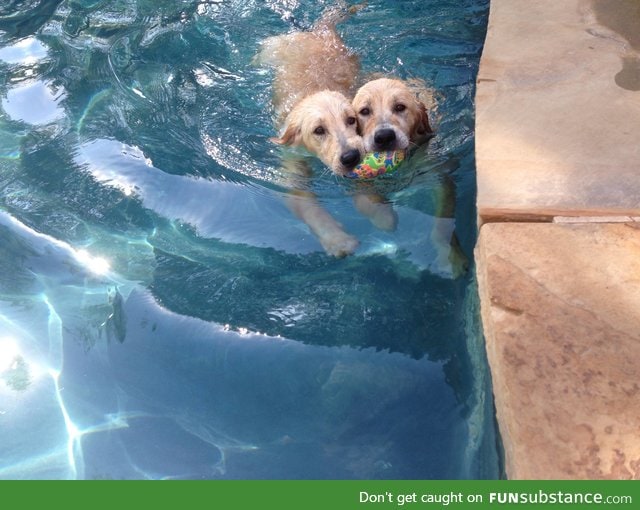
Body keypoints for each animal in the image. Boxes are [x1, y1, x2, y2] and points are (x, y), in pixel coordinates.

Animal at [255, 3, 364, 256]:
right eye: (318, 130)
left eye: (351, 120)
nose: (351, 157)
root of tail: (317, 32)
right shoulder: (292, 167)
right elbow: (310, 208)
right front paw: (337, 239)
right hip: (274, 48)